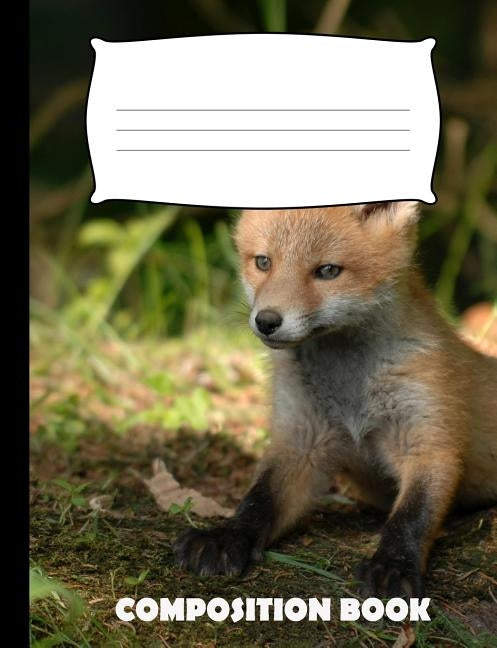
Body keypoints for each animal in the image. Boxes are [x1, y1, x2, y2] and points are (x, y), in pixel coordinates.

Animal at [174, 202, 497, 597]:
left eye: (327, 271)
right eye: (263, 262)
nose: (267, 321)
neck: (350, 393)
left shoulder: (429, 439)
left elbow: (412, 516)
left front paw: (393, 565)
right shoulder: (301, 440)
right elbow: (259, 499)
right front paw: (227, 536)